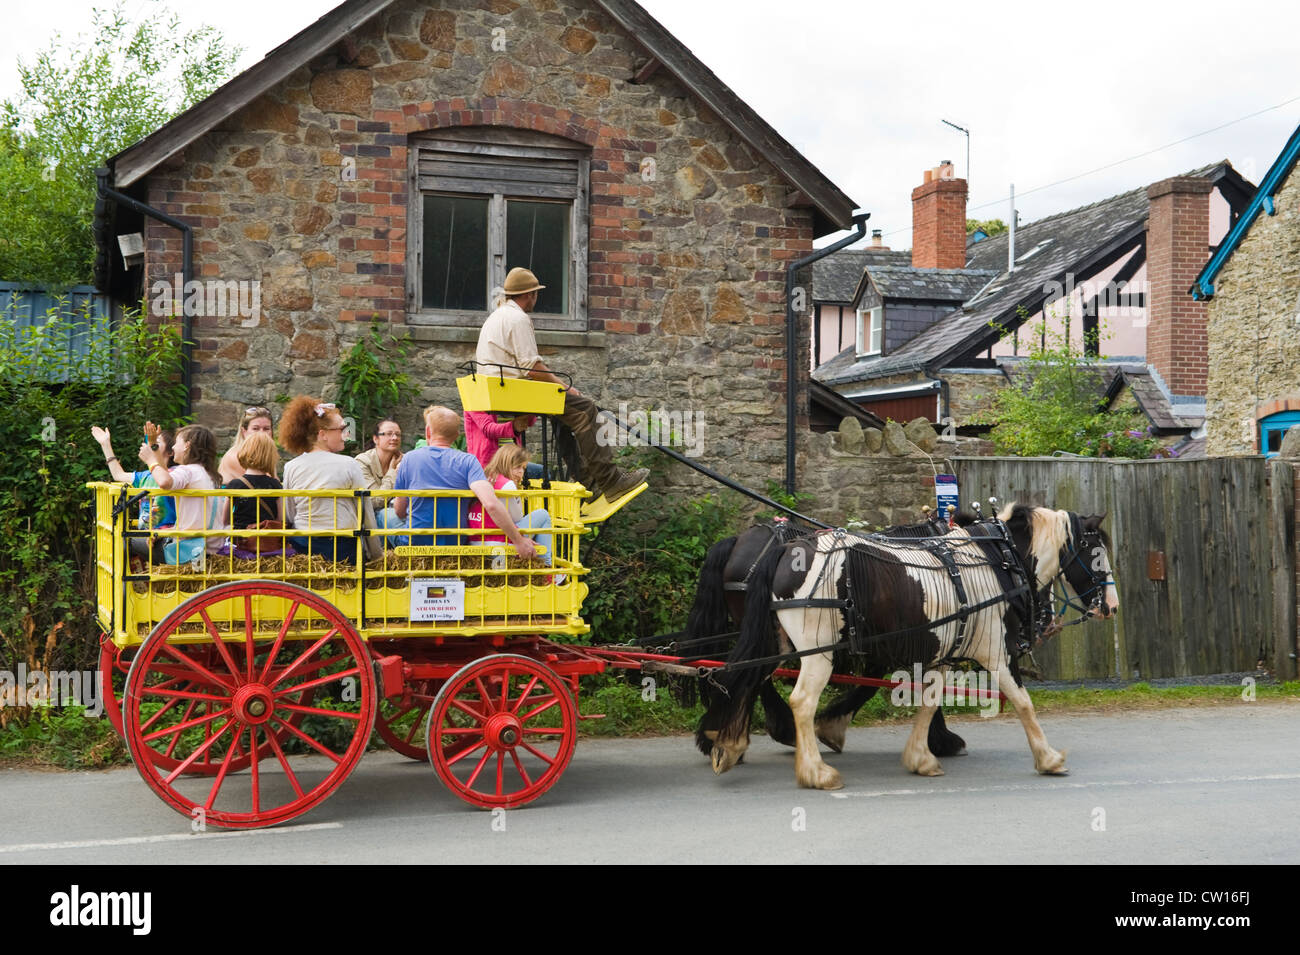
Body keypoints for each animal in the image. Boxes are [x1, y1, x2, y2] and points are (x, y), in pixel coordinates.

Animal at [707, 504, 1112, 789]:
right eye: (1097, 555)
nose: (1111, 606)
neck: (997, 559)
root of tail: (788, 547)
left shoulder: (945, 648)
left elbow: (930, 700)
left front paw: (922, 756)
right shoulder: (997, 651)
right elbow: (1023, 703)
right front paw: (1048, 758)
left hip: (775, 640)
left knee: (746, 678)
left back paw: (727, 746)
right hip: (817, 651)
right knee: (801, 701)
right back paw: (815, 773)